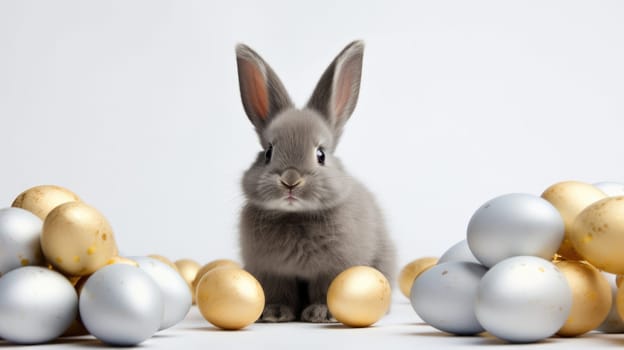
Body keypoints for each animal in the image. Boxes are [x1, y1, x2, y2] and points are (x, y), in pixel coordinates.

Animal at [234, 41, 394, 322]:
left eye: (321, 154)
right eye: (268, 152)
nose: (290, 180)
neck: (295, 216)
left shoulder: (333, 269)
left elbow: (325, 290)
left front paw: (321, 313)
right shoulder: (272, 272)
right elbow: (279, 293)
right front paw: (274, 313)